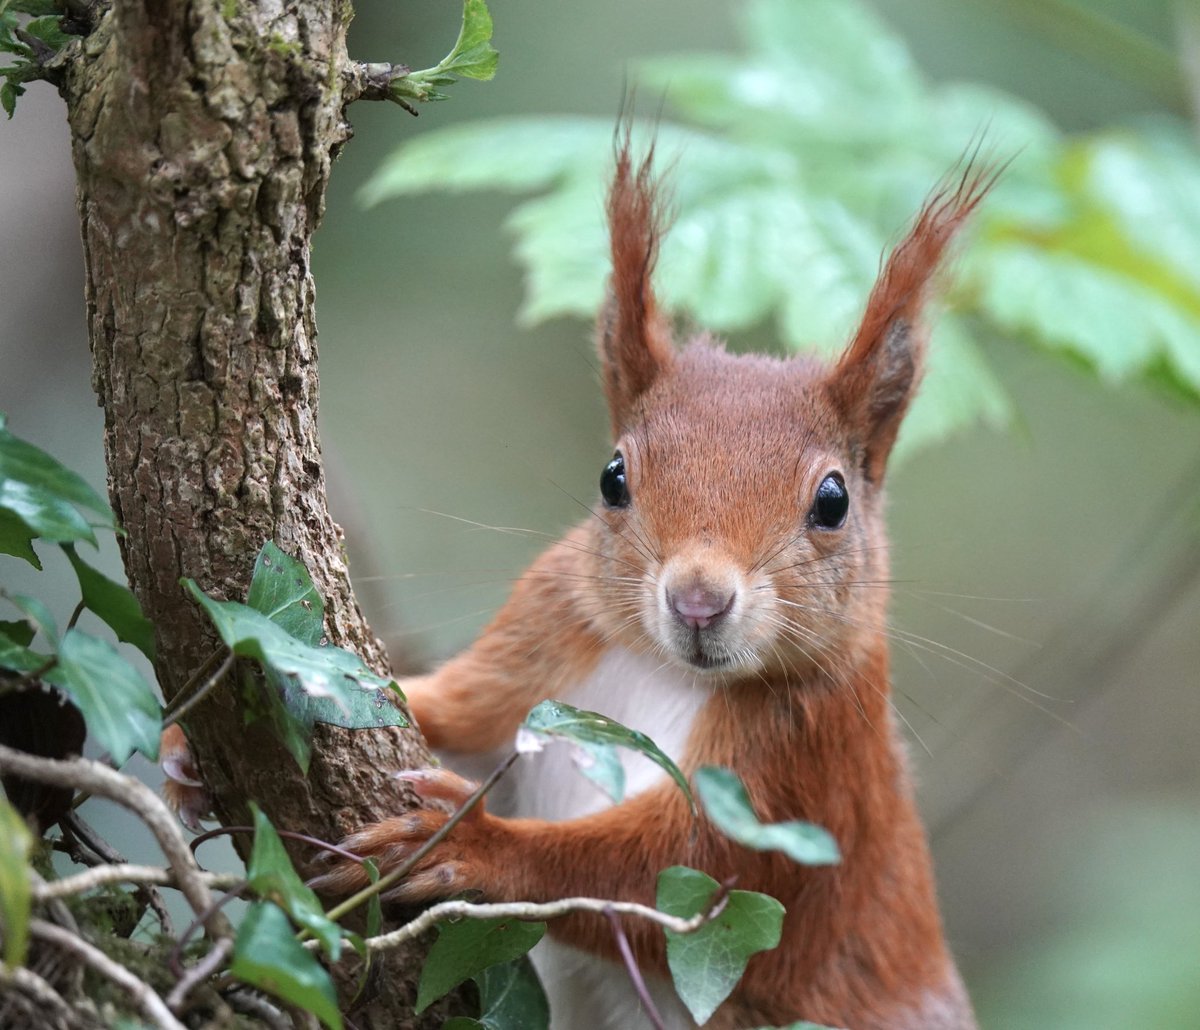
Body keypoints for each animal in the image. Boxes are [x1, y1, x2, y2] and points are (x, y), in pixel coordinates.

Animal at [314, 138, 988, 1027]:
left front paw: (470, 842)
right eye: (613, 477)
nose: (698, 600)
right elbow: (441, 705)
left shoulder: (805, 775)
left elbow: (646, 872)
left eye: (833, 501)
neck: (660, 669)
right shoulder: (536, 642)